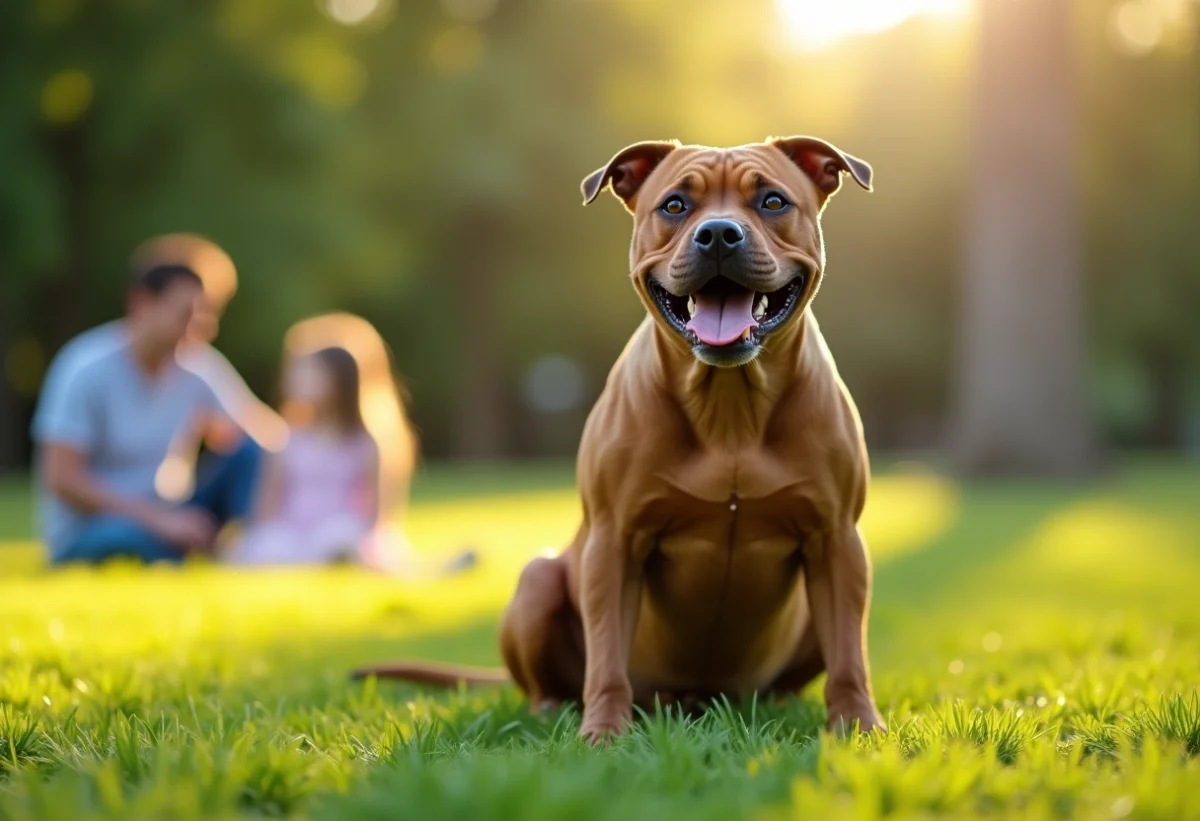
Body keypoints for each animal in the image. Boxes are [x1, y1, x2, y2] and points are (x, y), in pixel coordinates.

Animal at [350, 136, 888, 744]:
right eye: (675, 206)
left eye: (773, 201)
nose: (718, 233)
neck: (730, 412)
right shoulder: (614, 541)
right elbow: (607, 655)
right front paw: (603, 732)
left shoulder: (838, 541)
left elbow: (850, 657)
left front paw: (859, 726)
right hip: (538, 582)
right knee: (548, 677)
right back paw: (557, 710)